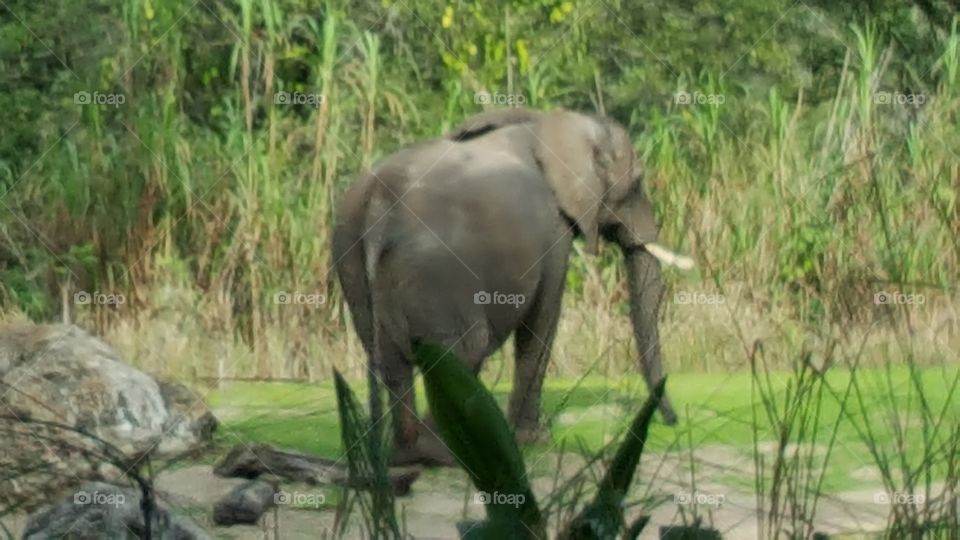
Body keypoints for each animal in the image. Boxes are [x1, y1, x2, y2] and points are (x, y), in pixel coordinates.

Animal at [332, 107, 688, 466]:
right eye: (638, 181)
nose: (673, 421)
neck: (549, 123)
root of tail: (379, 205)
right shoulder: (553, 230)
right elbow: (543, 320)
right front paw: (533, 439)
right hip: (433, 269)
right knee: (461, 352)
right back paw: (446, 456)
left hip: (352, 260)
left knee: (391, 362)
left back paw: (405, 456)